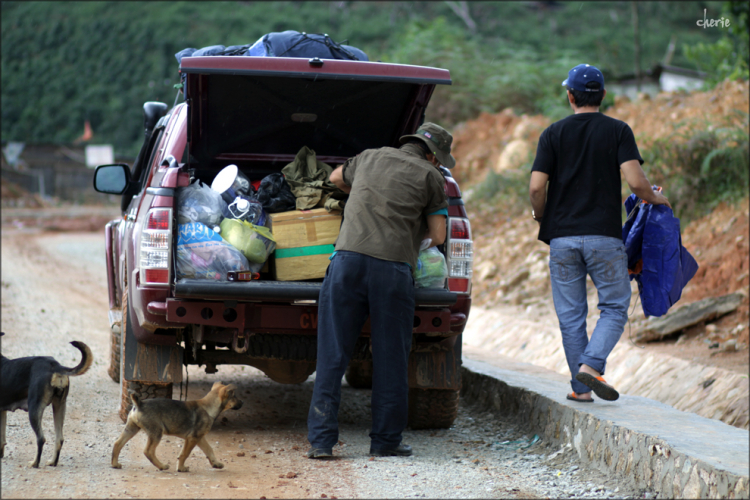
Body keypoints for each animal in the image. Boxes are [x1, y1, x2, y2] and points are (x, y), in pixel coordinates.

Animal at [0, 332, 93, 468]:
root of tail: (55, 366)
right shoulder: (2, 411)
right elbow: (2, 438)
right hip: (59, 406)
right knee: (59, 439)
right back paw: (53, 462)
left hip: (34, 409)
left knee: (41, 439)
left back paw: (34, 463)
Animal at [111, 382, 242, 472]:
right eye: (234, 397)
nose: (243, 403)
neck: (209, 406)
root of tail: (139, 404)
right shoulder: (192, 438)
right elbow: (184, 454)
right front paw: (181, 468)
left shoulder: (199, 438)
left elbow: (209, 450)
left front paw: (216, 463)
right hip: (156, 432)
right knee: (148, 451)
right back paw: (162, 466)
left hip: (131, 428)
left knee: (118, 443)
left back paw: (115, 464)